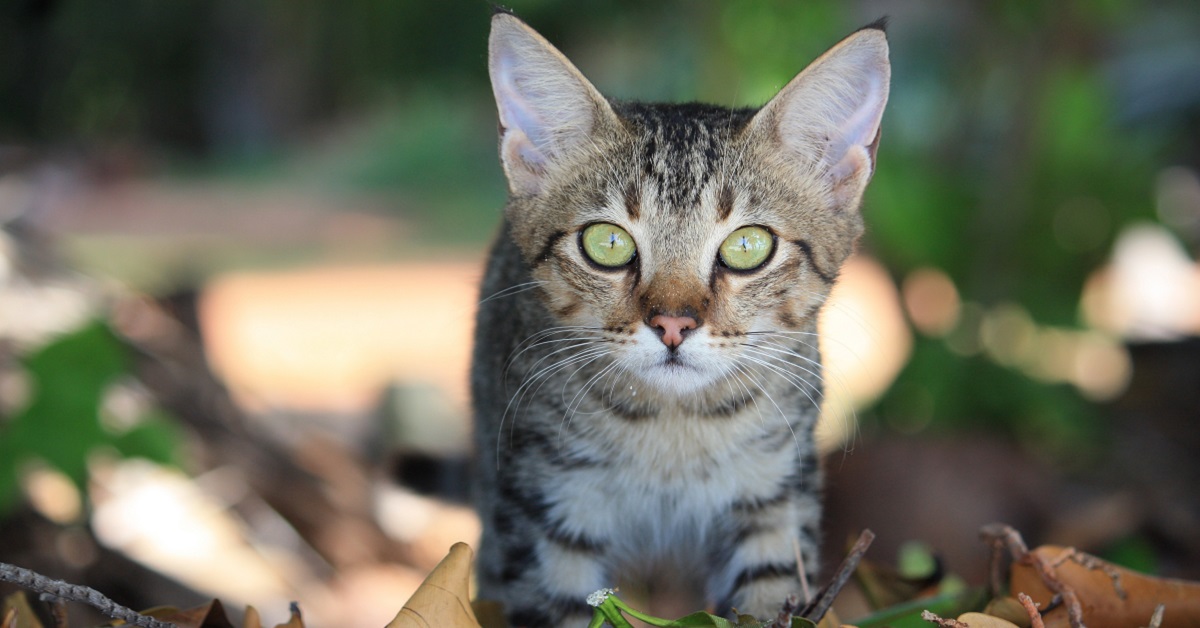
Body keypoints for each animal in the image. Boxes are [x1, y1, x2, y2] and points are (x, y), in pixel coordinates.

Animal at [472, 11, 888, 628]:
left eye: (747, 247)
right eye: (607, 243)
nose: (673, 324)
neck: (674, 430)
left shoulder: (775, 499)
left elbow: (767, 599)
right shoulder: (541, 507)